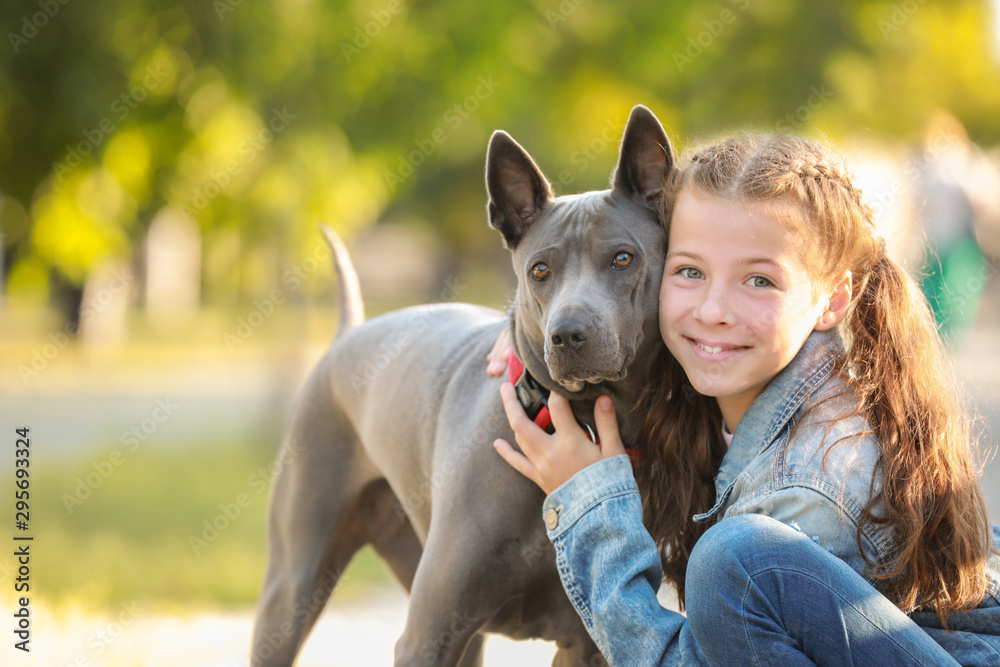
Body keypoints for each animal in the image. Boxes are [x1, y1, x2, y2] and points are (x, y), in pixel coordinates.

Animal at [252, 105, 672, 667]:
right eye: (540, 270)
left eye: (623, 258)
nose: (567, 335)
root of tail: (349, 333)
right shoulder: (428, 635)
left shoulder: (590, 645)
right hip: (291, 591)